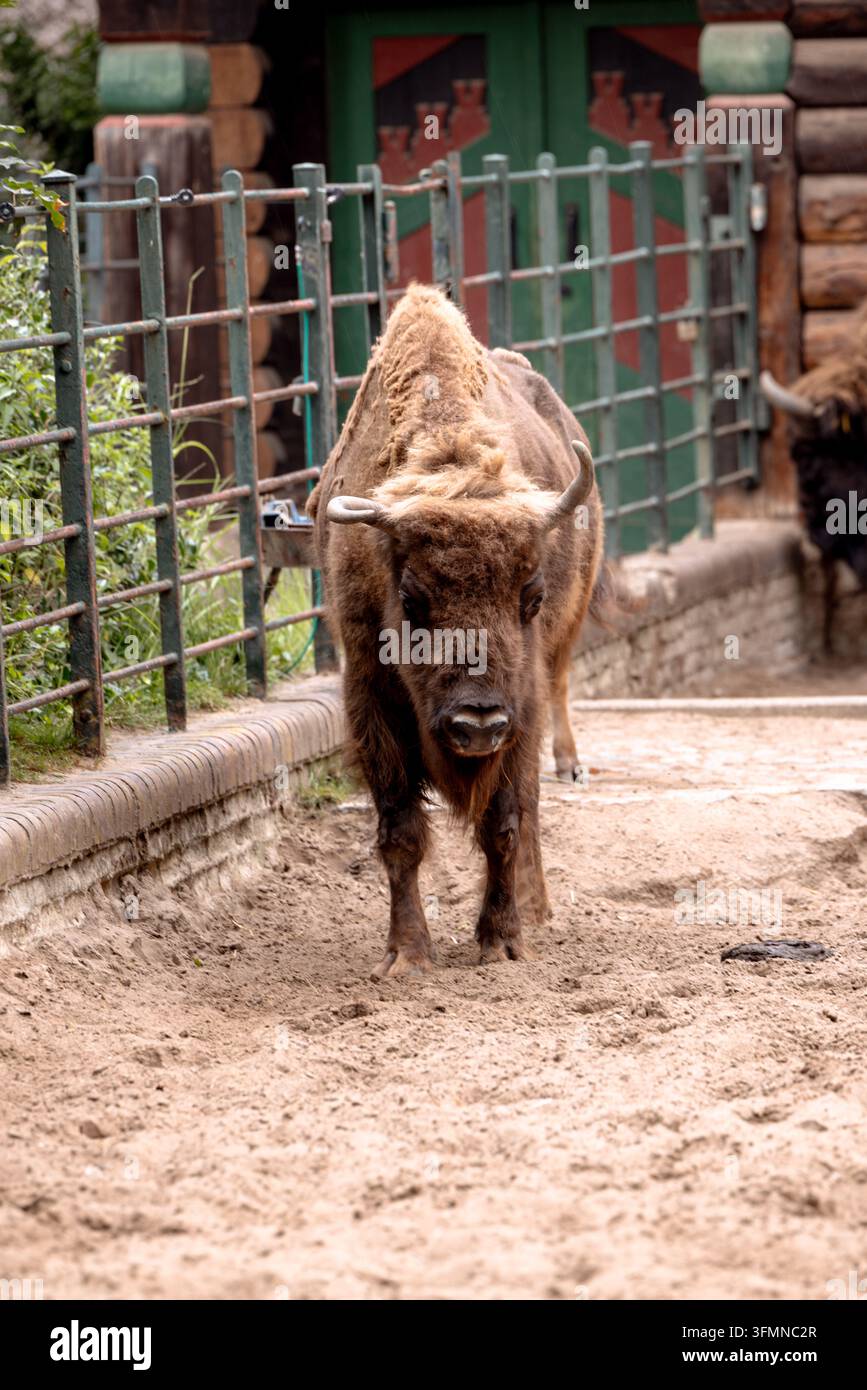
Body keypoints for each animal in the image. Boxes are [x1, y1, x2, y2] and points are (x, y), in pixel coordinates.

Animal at [308, 284, 603, 978]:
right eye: (411, 599)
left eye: (531, 597)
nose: (476, 724)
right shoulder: (371, 694)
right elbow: (401, 833)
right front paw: (407, 954)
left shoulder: (520, 711)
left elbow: (505, 823)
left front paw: (503, 941)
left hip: (560, 652)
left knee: (541, 777)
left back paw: (538, 900)